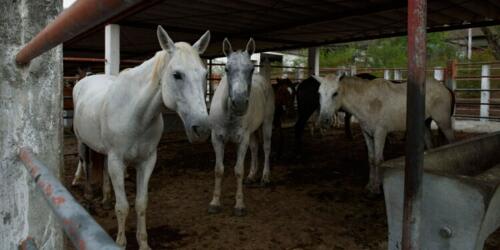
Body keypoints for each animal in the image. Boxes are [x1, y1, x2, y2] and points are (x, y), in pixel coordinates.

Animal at [72, 26, 209, 249]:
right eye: (177, 75)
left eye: (205, 75)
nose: (202, 129)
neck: (136, 114)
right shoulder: (117, 161)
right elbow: (122, 206)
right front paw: (120, 242)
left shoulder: (147, 161)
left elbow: (141, 203)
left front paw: (143, 242)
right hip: (81, 141)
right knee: (85, 162)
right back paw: (88, 192)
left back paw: (106, 198)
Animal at [209, 38, 276, 216]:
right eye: (226, 68)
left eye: (251, 69)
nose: (239, 103)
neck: (229, 114)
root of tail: (265, 80)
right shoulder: (217, 138)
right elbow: (218, 169)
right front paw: (214, 203)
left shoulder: (242, 139)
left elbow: (238, 170)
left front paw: (239, 205)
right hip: (252, 131)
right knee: (254, 148)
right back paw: (252, 176)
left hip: (267, 124)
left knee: (266, 148)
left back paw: (265, 178)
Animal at [316, 74, 458, 193]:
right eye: (319, 94)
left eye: (335, 93)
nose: (324, 120)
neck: (367, 101)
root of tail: (445, 88)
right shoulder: (367, 134)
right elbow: (371, 159)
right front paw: (370, 185)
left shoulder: (380, 133)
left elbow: (378, 160)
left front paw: (376, 188)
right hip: (424, 125)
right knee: (430, 146)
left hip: (444, 123)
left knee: (452, 142)